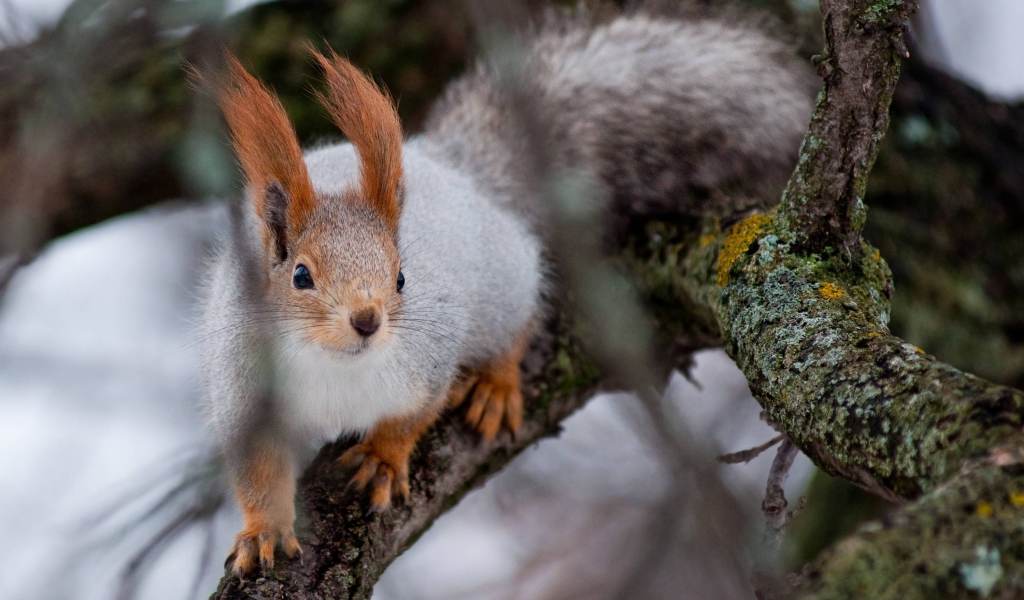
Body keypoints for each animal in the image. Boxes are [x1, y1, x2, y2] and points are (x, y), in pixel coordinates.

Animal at [197, 3, 815, 573]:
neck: (334, 364)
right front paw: (263, 530)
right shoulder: (245, 387)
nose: (368, 321)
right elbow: (257, 471)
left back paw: (496, 384)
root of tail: (456, 170)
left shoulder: (429, 358)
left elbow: (412, 416)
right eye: (300, 276)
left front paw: (383, 457)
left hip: (503, 285)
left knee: (517, 321)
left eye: (401, 276)